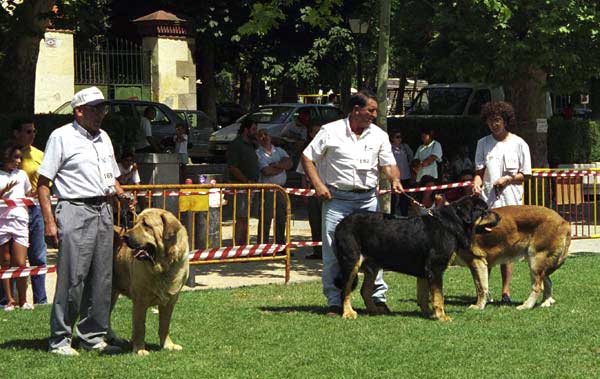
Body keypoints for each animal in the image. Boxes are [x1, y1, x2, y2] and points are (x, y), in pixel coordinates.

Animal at [110, 208, 189, 356]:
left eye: (146, 225)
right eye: (134, 223)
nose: (125, 237)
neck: (163, 267)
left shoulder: (170, 301)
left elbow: (165, 325)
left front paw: (168, 345)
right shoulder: (140, 301)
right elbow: (140, 327)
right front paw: (140, 349)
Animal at [336, 197, 500, 322]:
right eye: (484, 211)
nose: (499, 217)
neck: (452, 224)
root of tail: (341, 223)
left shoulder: (425, 271)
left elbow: (423, 295)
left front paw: (429, 313)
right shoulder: (435, 268)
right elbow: (438, 296)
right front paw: (442, 317)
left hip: (372, 267)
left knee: (365, 290)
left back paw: (374, 310)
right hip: (351, 262)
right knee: (345, 290)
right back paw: (348, 313)